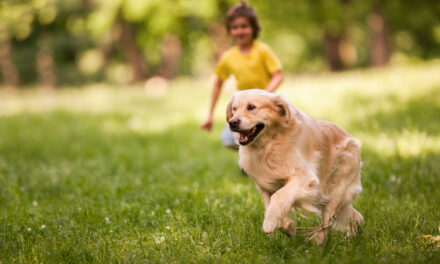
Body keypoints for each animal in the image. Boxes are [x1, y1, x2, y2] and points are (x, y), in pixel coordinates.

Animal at [225, 89, 362, 244]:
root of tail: (353, 139)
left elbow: (278, 196)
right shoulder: (265, 186)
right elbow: (270, 205)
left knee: (327, 222)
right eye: (234, 109)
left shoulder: (305, 179)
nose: (232, 122)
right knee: (355, 217)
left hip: (336, 190)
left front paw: (270, 222)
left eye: (251, 107)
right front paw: (288, 227)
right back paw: (352, 236)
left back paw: (318, 243)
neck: (269, 145)